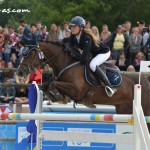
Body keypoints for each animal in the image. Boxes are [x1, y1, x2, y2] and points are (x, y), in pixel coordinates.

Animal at [18, 41, 150, 118]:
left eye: (30, 54)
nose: (20, 72)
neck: (67, 64)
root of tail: (145, 80)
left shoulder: (76, 91)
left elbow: (53, 83)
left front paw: (59, 97)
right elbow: (47, 84)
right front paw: (56, 97)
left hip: (144, 108)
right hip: (124, 109)